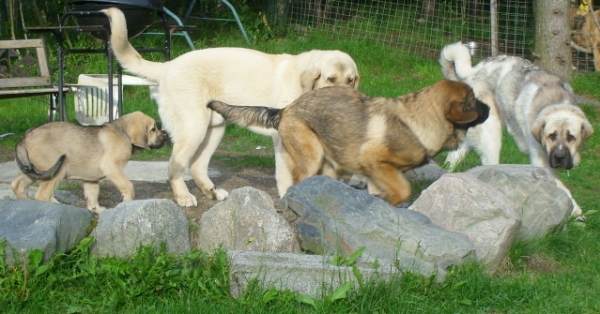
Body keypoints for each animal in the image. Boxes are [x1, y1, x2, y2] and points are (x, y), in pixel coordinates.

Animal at [11, 111, 166, 213]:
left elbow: (92, 195)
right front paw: (127, 203)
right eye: (153, 129)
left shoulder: (91, 179)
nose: (165, 135)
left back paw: (25, 204)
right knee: (42, 194)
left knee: (17, 184)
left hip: (34, 169)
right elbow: (128, 185)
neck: (123, 133)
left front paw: (97, 210)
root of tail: (24, 137)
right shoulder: (111, 166)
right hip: (56, 170)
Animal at [102, 7, 358, 207]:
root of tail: (168, 65)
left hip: (214, 129)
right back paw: (184, 197)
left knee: (197, 166)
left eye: (351, 80)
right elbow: (288, 175)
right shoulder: (284, 139)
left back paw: (212, 192)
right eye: (331, 79)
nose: (347, 99)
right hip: (194, 128)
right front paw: (289, 196)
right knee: (175, 166)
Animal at [209, 79, 490, 205]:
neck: (417, 121)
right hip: (311, 158)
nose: (489, 108)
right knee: (297, 182)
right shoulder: (376, 161)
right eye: (475, 102)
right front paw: (390, 201)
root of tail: (286, 110)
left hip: (330, 167)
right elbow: (403, 190)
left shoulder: (377, 173)